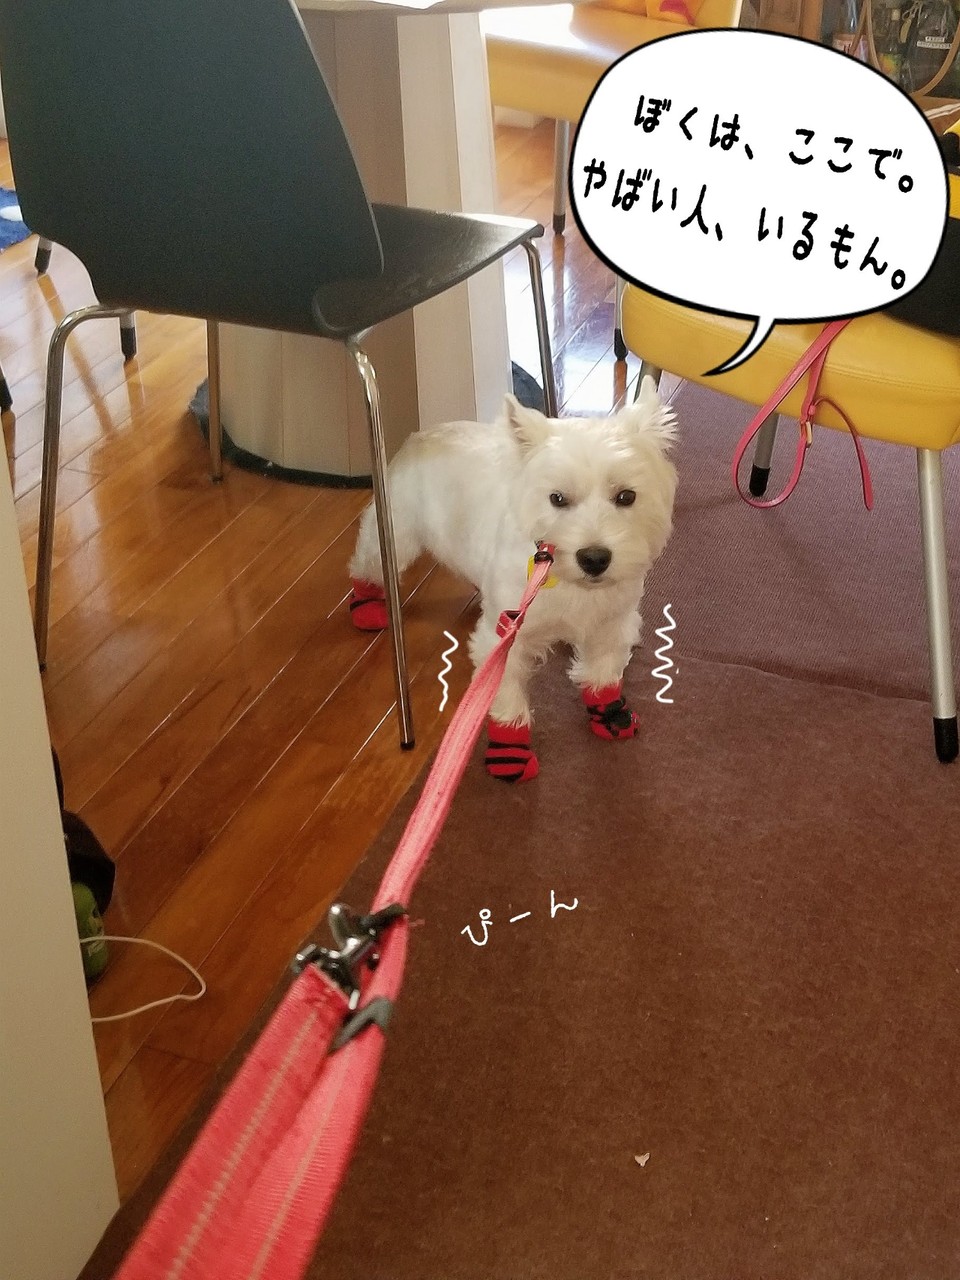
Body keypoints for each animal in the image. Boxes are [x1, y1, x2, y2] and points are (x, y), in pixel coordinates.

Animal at [348, 376, 678, 781]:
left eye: (627, 496)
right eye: (557, 498)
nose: (594, 559)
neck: (563, 579)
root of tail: (421, 434)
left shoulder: (611, 624)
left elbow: (602, 673)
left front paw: (610, 714)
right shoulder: (504, 639)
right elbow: (506, 694)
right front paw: (511, 750)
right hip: (396, 532)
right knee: (370, 561)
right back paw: (367, 605)